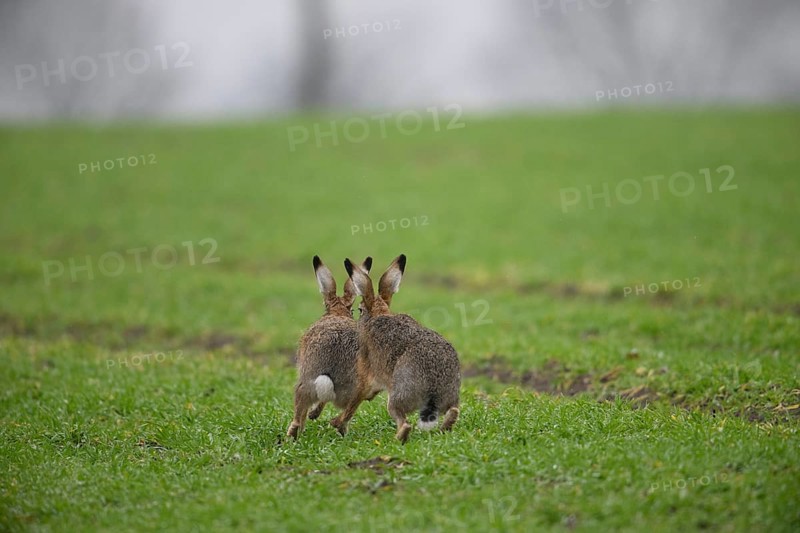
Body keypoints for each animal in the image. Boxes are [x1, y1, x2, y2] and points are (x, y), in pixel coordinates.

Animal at [286, 255, 372, 439]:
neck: (337, 313)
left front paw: (313, 415)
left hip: (304, 384)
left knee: (298, 417)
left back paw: (293, 435)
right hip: (357, 392)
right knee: (346, 414)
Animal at [339, 254, 461, 443]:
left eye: (359, 310)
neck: (378, 314)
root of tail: (434, 389)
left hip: (397, 397)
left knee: (404, 424)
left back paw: (395, 439)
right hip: (450, 395)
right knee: (453, 412)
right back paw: (443, 430)